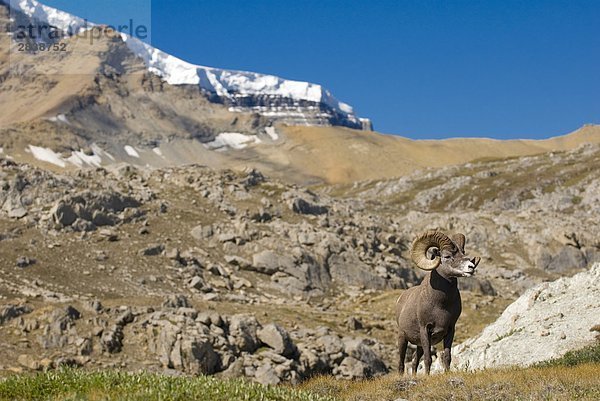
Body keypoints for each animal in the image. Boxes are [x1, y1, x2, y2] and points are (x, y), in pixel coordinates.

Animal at [396, 230, 480, 374]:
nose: (471, 267)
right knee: (401, 363)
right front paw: (427, 376)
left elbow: (447, 357)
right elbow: (428, 359)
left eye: (463, 253)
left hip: (418, 345)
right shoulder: (425, 330)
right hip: (403, 338)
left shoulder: (450, 330)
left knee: (414, 361)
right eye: (447, 256)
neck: (441, 305)